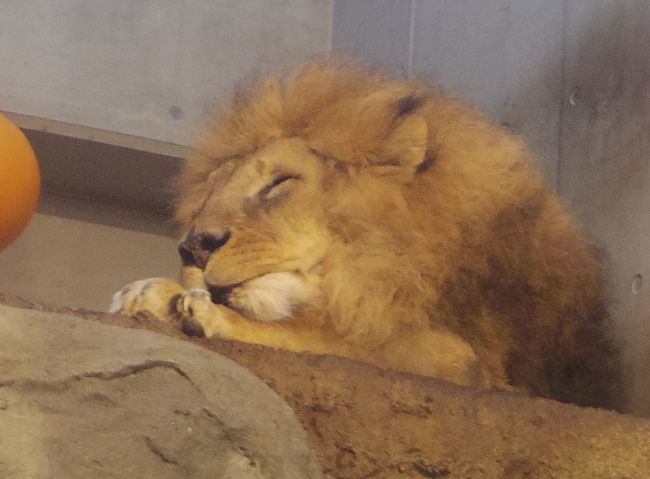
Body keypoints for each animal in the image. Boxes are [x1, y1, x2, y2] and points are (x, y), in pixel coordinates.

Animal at [110, 56, 616, 408]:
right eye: (206, 199)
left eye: (279, 183)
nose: (193, 247)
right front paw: (154, 296)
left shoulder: (457, 361)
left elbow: (330, 343)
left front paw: (183, 306)